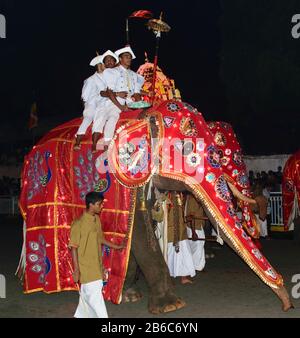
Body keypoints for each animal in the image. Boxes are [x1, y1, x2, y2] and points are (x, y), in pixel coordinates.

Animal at [18, 100, 292, 314]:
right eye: (187, 149)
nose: (287, 305)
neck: (146, 115)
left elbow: (142, 230)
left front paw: (130, 294)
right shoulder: (129, 181)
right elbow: (140, 233)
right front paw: (171, 305)